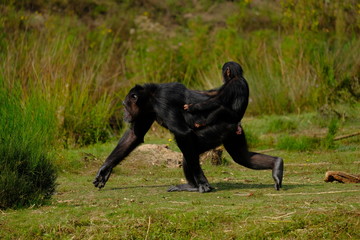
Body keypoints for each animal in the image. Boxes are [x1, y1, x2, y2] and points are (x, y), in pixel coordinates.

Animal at [93, 84, 284, 193]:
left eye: (125, 105)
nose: (124, 113)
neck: (150, 98)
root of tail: (235, 119)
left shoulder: (163, 102)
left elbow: (182, 133)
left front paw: (203, 182)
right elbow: (134, 135)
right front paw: (105, 170)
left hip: (216, 131)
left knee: (187, 152)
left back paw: (194, 185)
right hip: (233, 134)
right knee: (242, 156)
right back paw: (276, 164)